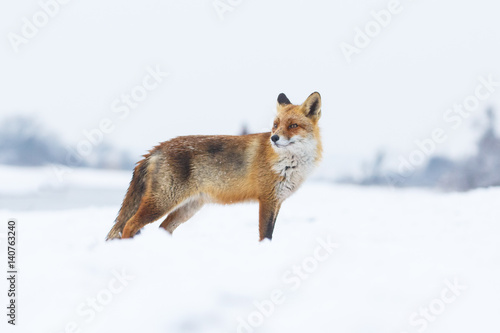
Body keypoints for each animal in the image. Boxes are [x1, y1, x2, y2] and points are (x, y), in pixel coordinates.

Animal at [106, 92, 324, 240]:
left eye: (293, 125)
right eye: (276, 125)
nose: (274, 138)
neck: (289, 164)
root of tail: (156, 148)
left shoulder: (277, 201)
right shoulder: (267, 199)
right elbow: (265, 235)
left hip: (187, 208)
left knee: (162, 229)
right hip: (162, 202)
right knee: (130, 225)